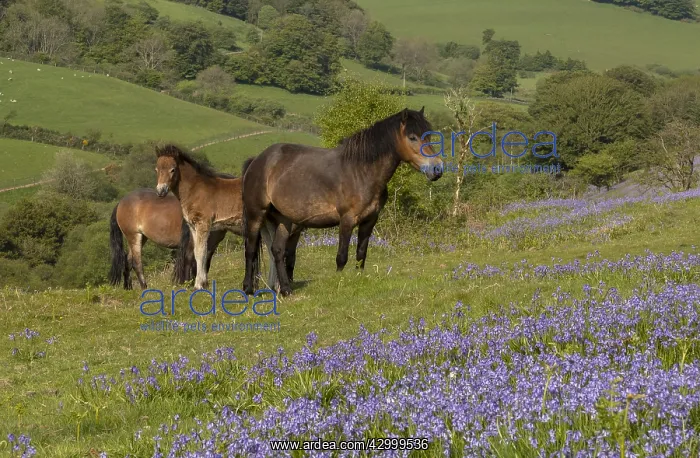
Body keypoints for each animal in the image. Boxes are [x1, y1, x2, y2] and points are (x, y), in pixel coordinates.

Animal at [154, 145, 281, 291]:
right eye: (157, 169)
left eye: (172, 169)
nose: (160, 191)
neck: (196, 189)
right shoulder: (193, 226)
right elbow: (197, 252)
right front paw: (201, 283)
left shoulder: (203, 224)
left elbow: (201, 252)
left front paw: (199, 284)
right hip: (265, 223)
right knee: (271, 249)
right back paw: (273, 286)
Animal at [240, 107, 443, 296]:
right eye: (412, 137)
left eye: (429, 135)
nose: (437, 169)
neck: (361, 172)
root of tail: (257, 160)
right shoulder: (347, 220)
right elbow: (342, 256)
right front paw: (339, 282)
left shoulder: (369, 220)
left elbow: (361, 254)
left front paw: (358, 278)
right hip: (256, 215)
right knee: (250, 250)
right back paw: (248, 289)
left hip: (285, 220)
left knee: (277, 250)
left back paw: (286, 290)